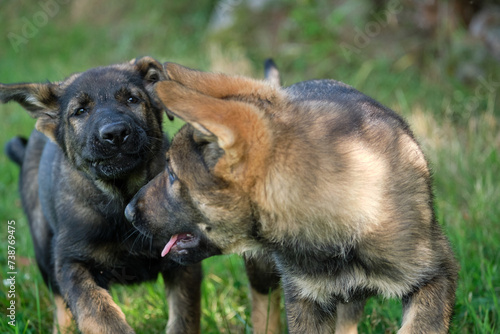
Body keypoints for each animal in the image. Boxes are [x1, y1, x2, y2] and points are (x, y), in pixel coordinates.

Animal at [1, 57, 203, 334]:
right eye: (80, 111)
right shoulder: (71, 262)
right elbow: (98, 313)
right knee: (60, 305)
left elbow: (184, 317)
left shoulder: (184, 256)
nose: (115, 133)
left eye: (132, 99)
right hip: (43, 248)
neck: (122, 196)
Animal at [127, 63, 458, 334]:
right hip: (264, 271)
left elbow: (420, 325)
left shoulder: (436, 274)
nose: (128, 212)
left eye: (171, 174)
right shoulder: (303, 297)